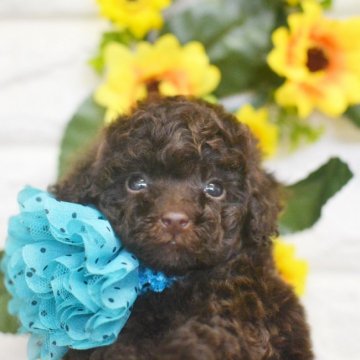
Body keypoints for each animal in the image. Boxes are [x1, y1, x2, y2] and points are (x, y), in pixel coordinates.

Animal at [54, 97, 312, 358]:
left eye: (214, 189)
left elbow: (213, 335)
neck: (170, 280)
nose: (175, 220)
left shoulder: (244, 305)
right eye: (136, 183)